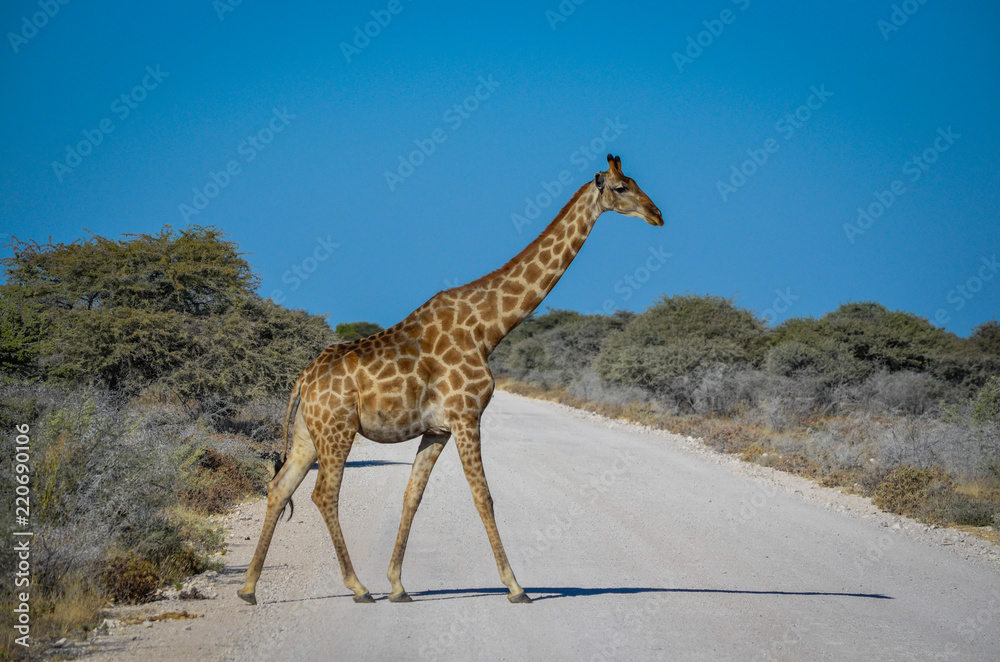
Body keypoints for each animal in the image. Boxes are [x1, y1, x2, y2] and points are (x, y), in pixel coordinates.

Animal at [238, 154, 663, 605]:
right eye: (621, 187)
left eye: (634, 181)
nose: (657, 215)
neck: (488, 329)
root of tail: (302, 379)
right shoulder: (466, 416)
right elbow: (483, 497)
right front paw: (516, 587)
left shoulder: (437, 429)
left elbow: (412, 496)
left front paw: (398, 585)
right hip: (338, 429)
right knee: (323, 494)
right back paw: (357, 587)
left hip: (307, 434)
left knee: (279, 487)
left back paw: (248, 588)